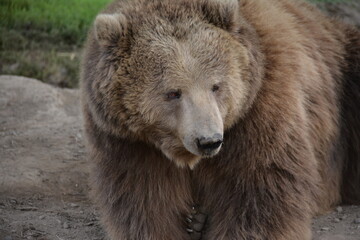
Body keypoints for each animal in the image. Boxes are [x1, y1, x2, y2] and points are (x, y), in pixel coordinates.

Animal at [81, 0, 360, 239]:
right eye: (173, 92)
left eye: (216, 86)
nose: (209, 141)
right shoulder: (128, 140)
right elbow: (145, 199)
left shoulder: (259, 107)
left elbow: (260, 190)